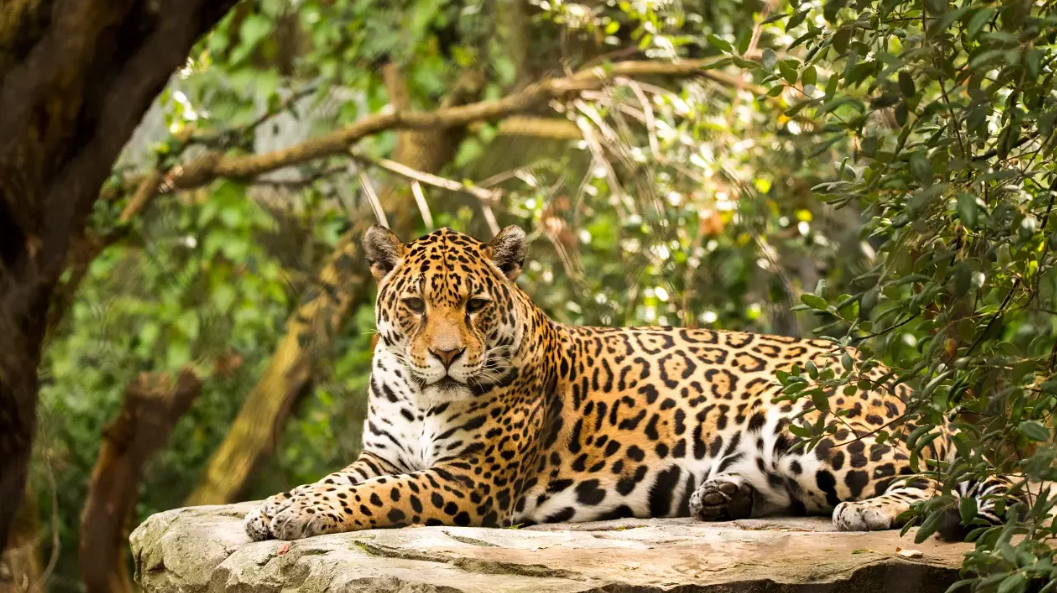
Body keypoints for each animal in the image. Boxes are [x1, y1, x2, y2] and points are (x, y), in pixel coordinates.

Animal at [244, 225, 1019, 541]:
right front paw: (277, 505)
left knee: (950, 477)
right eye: (413, 305)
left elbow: (372, 497)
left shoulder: (466, 480)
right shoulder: (382, 452)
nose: (444, 355)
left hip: (805, 423)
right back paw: (720, 494)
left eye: (474, 304)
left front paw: (291, 515)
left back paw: (866, 511)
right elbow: (338, 481)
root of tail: (897, 376)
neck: (418, 392)